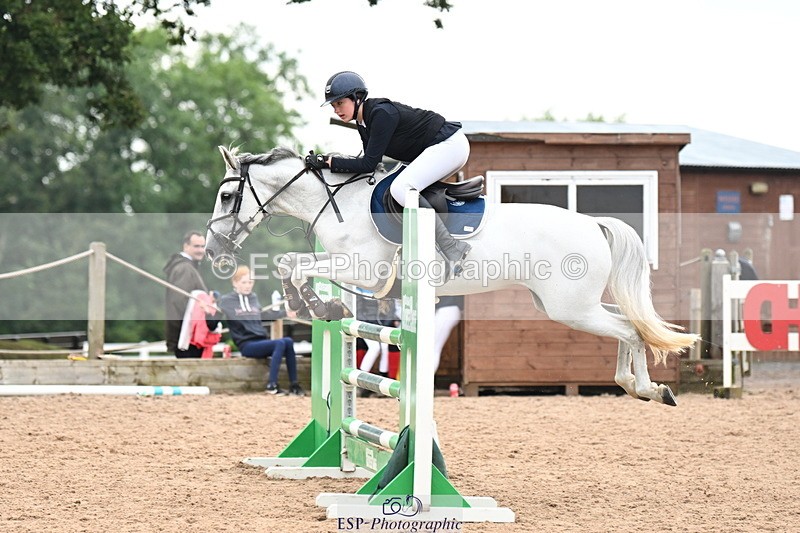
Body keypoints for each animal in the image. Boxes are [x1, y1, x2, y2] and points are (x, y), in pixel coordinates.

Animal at [205, 145, 698, 405]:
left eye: (228, 196)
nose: (213, 252)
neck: (337, 201)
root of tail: (592, 223)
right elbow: (291, 264)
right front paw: (320, 305)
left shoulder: (367, 270)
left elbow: (294, 266)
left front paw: (316, 305)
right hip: (569, 304)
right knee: (627, 322)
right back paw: (640, 387)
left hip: (570, 308)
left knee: (629, 329)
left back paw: (648, 388)